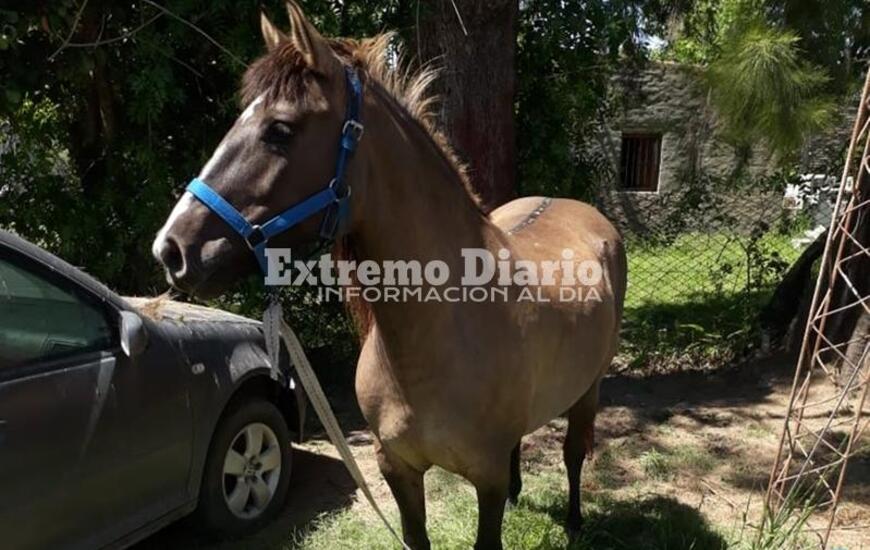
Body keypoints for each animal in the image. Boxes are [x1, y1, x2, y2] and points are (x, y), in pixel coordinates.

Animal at [152, 3, 626, 548]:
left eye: (280, 129)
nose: (172, 249)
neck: (440, 339)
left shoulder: (483, 479)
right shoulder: (396, 467)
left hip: (588, 389)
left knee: (574, 453)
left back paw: (574, 519)